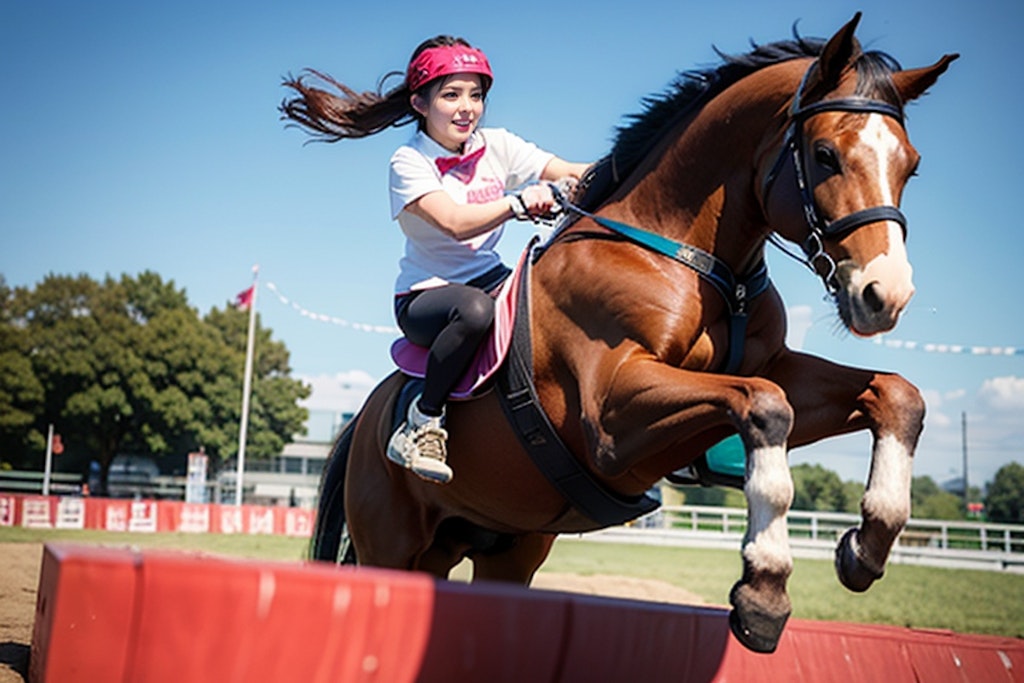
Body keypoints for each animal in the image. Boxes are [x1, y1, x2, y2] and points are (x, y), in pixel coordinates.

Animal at [311, 15, 958, 655]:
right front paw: (765, 587)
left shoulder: (769, 371)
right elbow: (765, 407)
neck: (700, 262)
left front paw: (865, 546)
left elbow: (898, 396)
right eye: (825, 155)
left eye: (911, 164)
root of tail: (362, 421)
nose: (885, 294)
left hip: (504, 546)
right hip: (392, 544)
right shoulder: (612, 420)